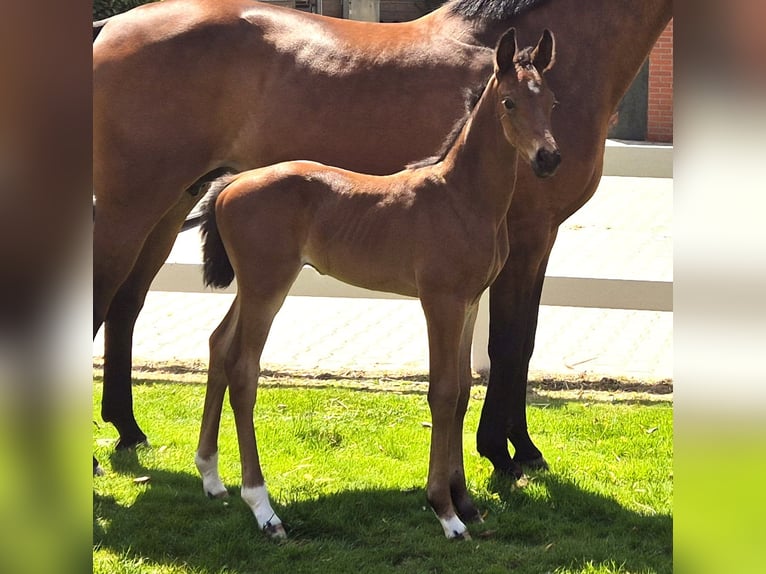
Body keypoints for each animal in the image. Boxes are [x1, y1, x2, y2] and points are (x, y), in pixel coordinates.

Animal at [94, 0, 672, 480]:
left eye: (552, 101)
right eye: (510, 103)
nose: (548, 158)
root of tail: (109, 29)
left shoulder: (538, 240)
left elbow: (522, 342)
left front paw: (521, 449)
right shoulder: (527, 236)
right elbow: (508, 344)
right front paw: (502, 453)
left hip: (170, 208)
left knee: (126, 305)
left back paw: (128, 430)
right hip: (131, 209)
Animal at [195, 29, 560, 544]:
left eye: (551, 101)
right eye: (509, 102)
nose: (549, 158)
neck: (463, 197)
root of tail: (230, 183)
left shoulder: (469, 302)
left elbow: (462, 394)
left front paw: (466, 503)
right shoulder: (440, 302)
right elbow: (442, 392)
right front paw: (445, 512)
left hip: (250, 287)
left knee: (218, 346)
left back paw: (211, 477)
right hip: (268, 285)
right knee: (243, 369)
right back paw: (264, 509)